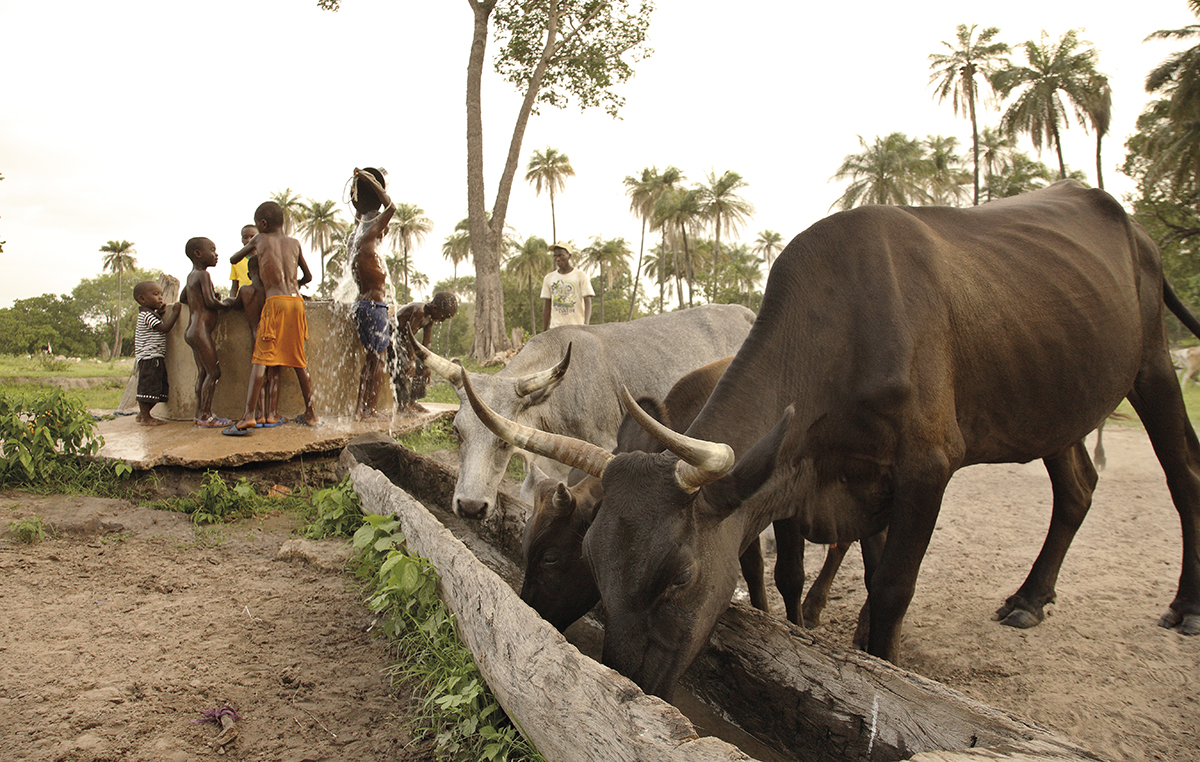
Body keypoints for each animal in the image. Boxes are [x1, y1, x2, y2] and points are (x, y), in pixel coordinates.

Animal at [459, 181, 1200, 700]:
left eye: (679, 578)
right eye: (592, 556)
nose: (629, 683)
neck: (841, 333)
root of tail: (1126, 222)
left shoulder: (924, 470)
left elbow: (892, 587)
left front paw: (881, 660)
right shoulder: (802, 482)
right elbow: (802, 573)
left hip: (1152, 365)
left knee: (1183, 472)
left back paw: (1184, 606)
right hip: (1054, 401)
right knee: (1077, 486)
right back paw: (1029, 598)